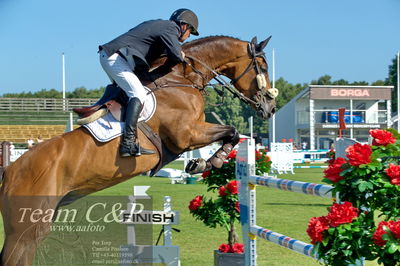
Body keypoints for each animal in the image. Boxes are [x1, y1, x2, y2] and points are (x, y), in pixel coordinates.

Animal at [0, 35, 276, 266]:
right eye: (262, 66)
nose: (270, 107)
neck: (181, 79)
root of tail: (9, 171)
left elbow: (234, 133)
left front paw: (204, 163)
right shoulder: (186, 135)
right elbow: (232, 131)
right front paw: (209, 162)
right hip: (26, 228)